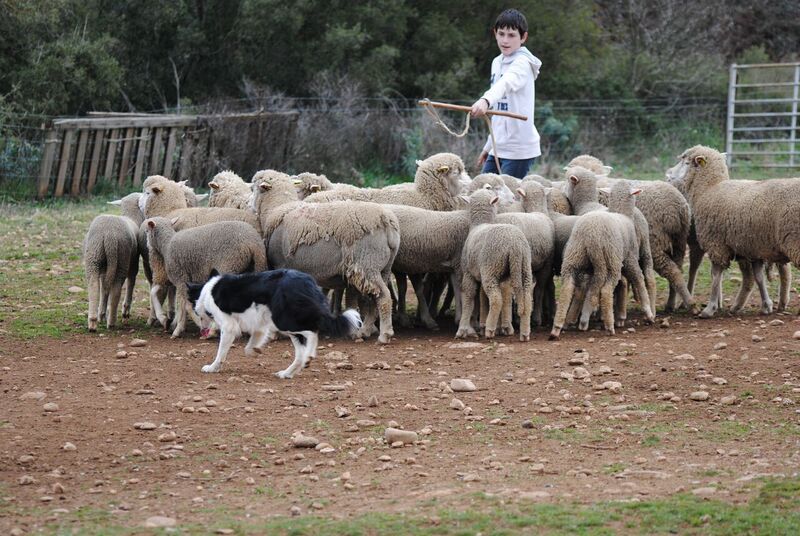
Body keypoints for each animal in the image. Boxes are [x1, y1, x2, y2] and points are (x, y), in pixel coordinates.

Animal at [83, 200, 139, 330]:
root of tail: (110, 235)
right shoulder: (134, 263)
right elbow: (131, 282)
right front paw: (125, 311)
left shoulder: (106, 269)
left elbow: (104, 288)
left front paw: (102, 314)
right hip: (122, 257)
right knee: (116, 287)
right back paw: (111, 322)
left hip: (95, 254)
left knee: (94, 285)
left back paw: (93, 321)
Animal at [552, 182, 656, 338]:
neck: (622, 213)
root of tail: (589, 234)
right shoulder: (630, 258)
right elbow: (638, 280)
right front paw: (648, 313)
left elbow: (590, 290)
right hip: (609, 261)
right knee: (606, 289)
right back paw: (608, 326)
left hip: (574, 256)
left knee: (569, 287)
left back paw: (558, 327)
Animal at [664, 144, 800, 316]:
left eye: (686, 162)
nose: (668, 174)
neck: (709, 189)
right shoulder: (753, 248)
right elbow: (759, 277)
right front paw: (766, 305)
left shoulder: (716, 244)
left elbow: (715, 276)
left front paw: (710, 308)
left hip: (794, 240)